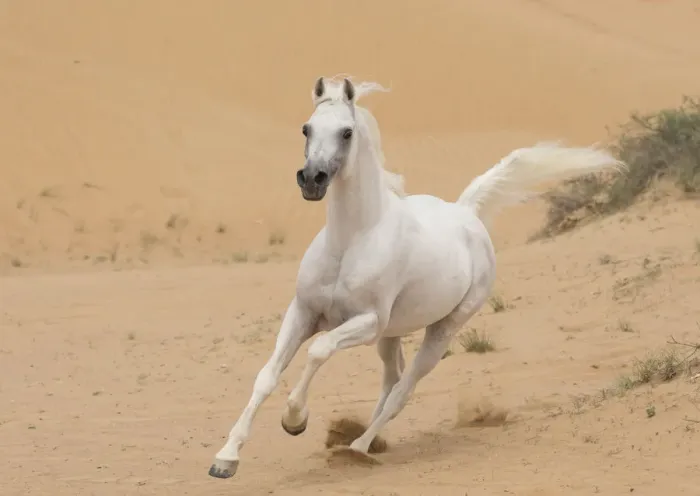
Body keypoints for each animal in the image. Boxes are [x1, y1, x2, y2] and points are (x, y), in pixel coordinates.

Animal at [208, 76, 623, 479]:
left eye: (346, 132)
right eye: (306, 128)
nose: (312, 179)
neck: (351, 241)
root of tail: (467, 213)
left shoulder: (367, 322)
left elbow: (319, 350)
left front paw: (294, 419)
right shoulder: (303, 313)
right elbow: (266, 376)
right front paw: (226, 459)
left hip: (441, 330)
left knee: (403, 390)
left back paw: (357, 449)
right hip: (391, 335)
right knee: (392, 379)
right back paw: (363, 440)